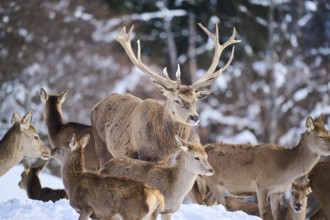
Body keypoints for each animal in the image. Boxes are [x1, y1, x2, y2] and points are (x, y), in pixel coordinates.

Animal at [91, 23, 238, 166]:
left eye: (195, 101)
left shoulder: (167, 159)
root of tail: (95, 106)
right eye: (177, 100)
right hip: (101, 144)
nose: (194, 117)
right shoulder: (143, 154)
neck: (163, 146)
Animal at [202, 114, 330, 219]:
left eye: (328, 133)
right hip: (214, 182)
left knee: (208, 201)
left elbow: (276, 215)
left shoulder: (278, 191)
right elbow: (263, 213)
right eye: (321, 136)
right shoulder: (261, 185)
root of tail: (204, 147)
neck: (284, 171)